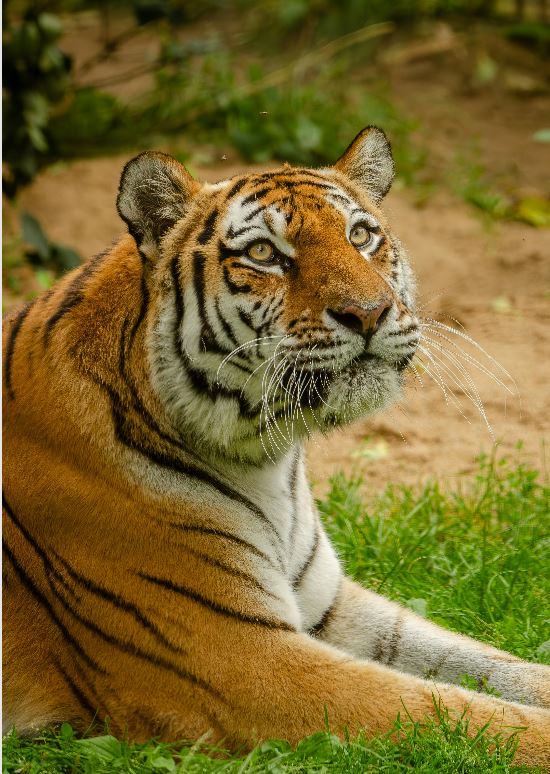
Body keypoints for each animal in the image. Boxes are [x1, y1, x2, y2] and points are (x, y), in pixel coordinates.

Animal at [3, 126, 550, 766]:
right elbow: (454, 713)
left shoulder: (328, 605)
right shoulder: (241, 658)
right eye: (264, 254)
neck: (264, 458)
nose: (369, 313)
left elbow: (488, 665)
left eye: (360, 236)